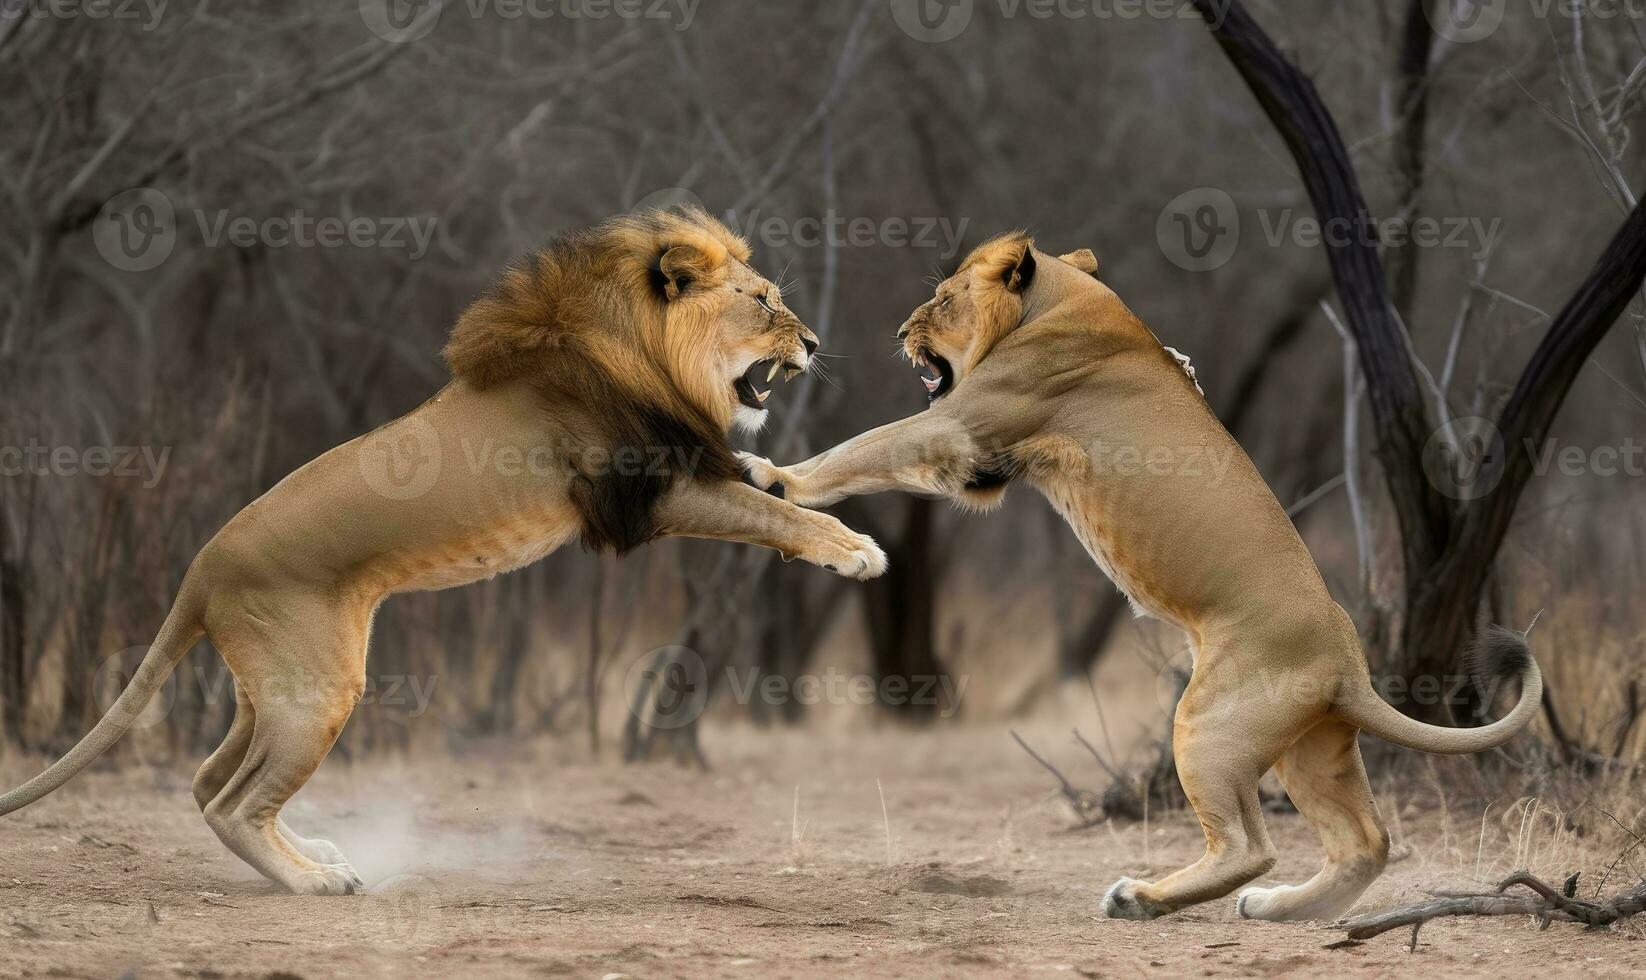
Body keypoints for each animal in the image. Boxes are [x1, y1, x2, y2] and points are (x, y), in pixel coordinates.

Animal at [0, 206, 887, 895]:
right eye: (764, 301)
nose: (815, 342)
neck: (647, 351)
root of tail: (198, 567)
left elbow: (770, 488)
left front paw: (795, 482)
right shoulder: (652, 492)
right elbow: (762, 515)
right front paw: (855, 551)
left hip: (273, 686)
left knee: (207, 779)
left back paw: (315, 850)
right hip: (319, 690)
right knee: (232, 801)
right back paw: (317, 881)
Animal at [740, 233, 1543, 923]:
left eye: (942, 299)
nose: (903, 330)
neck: (1060, 305)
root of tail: (1350, 662)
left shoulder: (961, 427)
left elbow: (860, 448)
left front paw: (774, 475)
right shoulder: (982, 468)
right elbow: (868, 454)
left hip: (1209, 725)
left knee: (1250, 846)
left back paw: (1141, 898)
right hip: (1313, 750)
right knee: (1365, 845)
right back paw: (1278, 909)